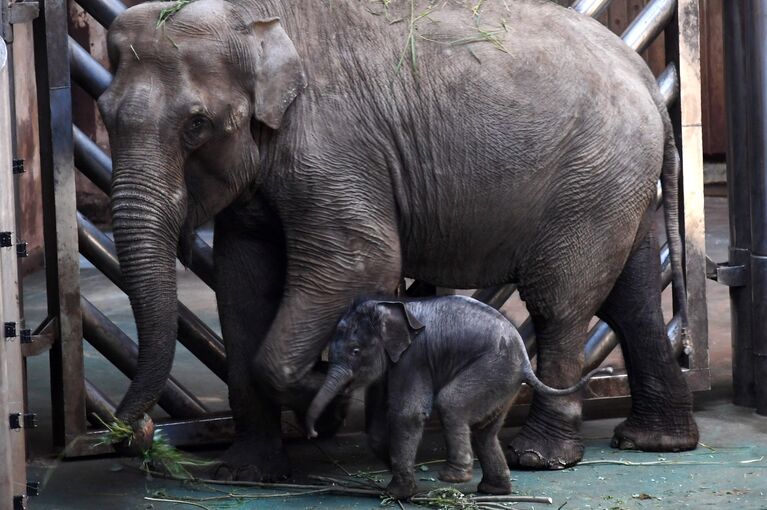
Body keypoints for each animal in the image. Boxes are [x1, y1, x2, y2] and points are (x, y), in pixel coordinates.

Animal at [306, 294, 612, 498]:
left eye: (355, 351)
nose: (312, 433)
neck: (392, 307)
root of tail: (525, 361)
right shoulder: (395, 364)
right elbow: (382, 417)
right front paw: (391, 471)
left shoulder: (414, 358)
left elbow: (408, 412)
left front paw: (395, 494)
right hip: (504, 384)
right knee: (485, 430)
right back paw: (493, 490)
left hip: (492, 369)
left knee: (451, 404)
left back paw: (453, 477)